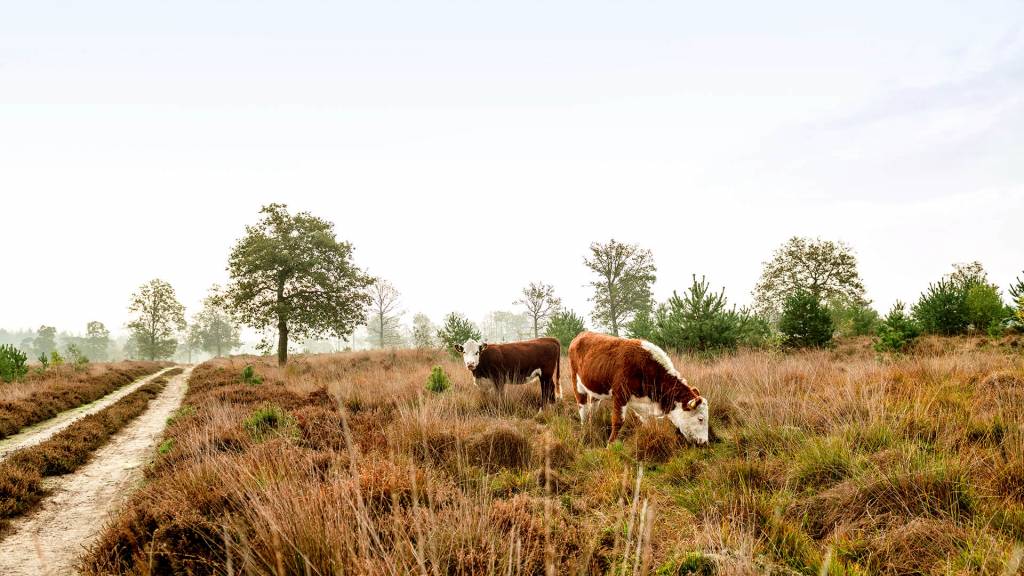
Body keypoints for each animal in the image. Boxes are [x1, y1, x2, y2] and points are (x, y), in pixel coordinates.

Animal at [569, 327, 704, 444]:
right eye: (700, 419)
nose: (704, 442)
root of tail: (581, 334)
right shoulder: (620, 394)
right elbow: (618, 421)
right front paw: (610, 445)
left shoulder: (643, 403)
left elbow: (648, 422)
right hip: (576, 383)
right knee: (582, 408)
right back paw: (585, 430)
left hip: (595, 388)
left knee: (593, 408)